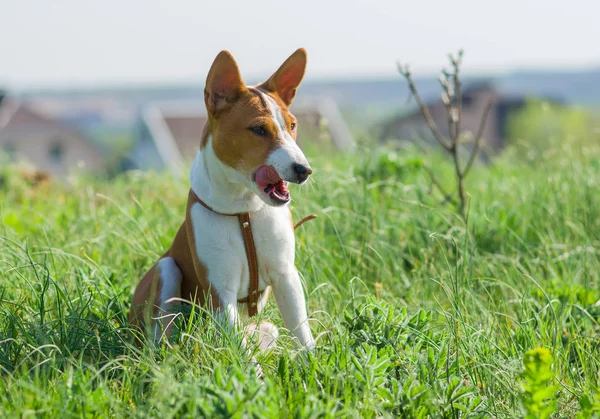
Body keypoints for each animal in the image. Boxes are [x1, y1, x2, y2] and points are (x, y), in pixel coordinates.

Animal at [128, 46, 316, 354]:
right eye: (259, 129)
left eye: (292, 125)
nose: (304, 170)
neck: (245, 212)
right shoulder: (220, 292)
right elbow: (244, 355)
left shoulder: (286, 276)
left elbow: (303, 336)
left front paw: (314, 365)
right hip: (166, 271)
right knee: (161, 340)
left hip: (267, 328)